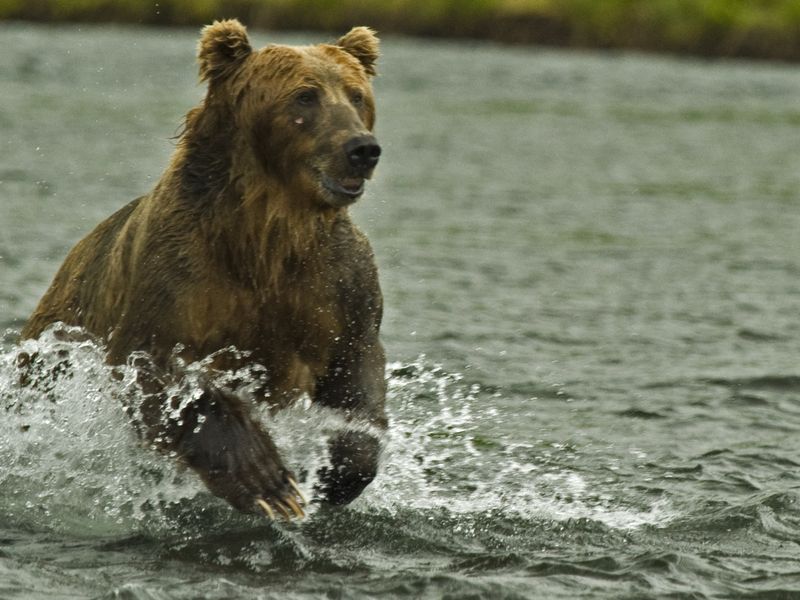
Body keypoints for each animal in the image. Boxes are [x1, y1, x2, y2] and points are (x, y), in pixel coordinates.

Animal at [21, 19, 388, 520]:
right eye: (305, 96)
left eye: (356, 94)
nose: (361, 149)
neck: (268, 231)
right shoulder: (179, 275)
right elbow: (157, 372)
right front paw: (268, 481)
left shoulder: (336, 285)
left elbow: (356, 374)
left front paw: (333, 476)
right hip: (53, 349)